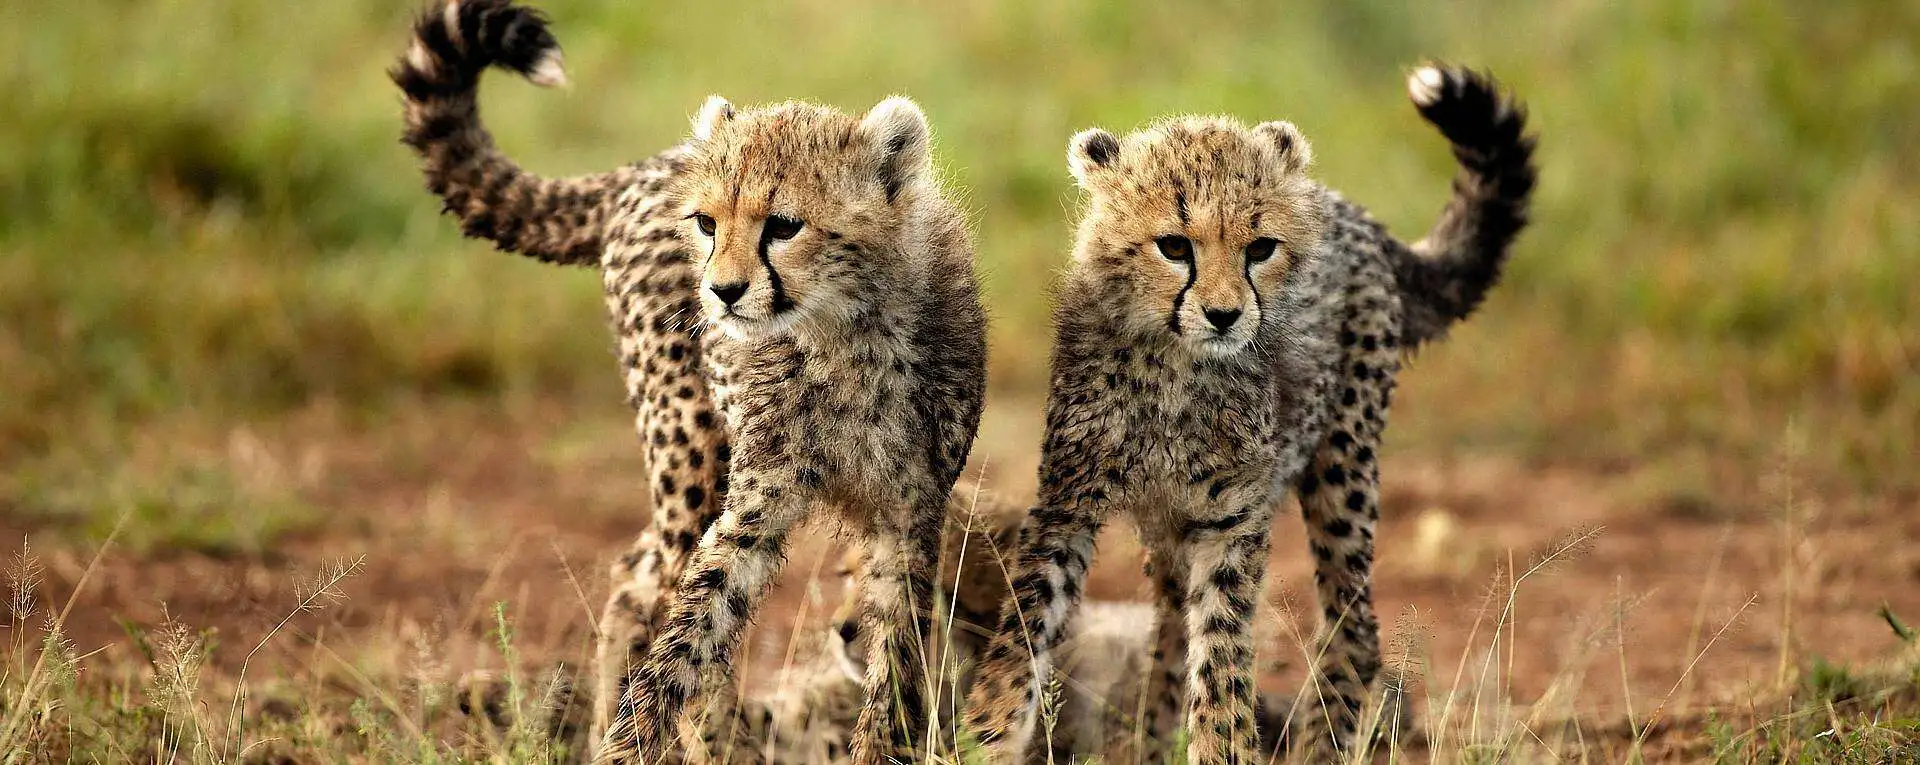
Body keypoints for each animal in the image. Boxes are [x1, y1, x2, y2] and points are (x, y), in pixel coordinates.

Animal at [963, 65, 1536, 764]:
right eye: (1174, 246)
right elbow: (1022, 633)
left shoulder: (1232, 520)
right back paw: (1151, 742)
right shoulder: (1068, 503)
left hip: (1343, 464)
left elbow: (1222, 658)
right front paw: (983, 737)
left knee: (1355, 626)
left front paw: (1223, 748)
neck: (1176, 366)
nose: (1225, 314)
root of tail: (1345, 207)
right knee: (1170, 630)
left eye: (1260, 248)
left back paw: (1321, 747)